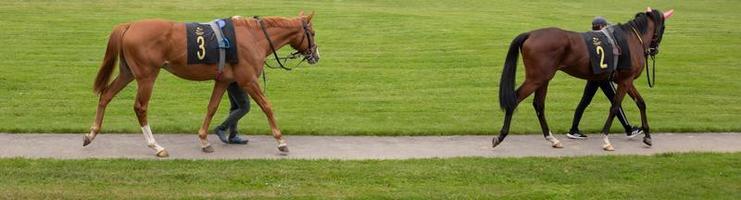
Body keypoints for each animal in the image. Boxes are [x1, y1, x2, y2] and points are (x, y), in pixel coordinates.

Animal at [83, 11, 318, 157]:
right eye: (313, 33)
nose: (316, 55)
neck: (253, 36)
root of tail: (129, 25)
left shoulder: (223, 80)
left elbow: (212, 108)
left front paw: (205, 140)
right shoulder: (248, 80)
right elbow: (267, 106)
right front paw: (281, 142)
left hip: (128, 72)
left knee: (106, 95)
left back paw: (91, 134)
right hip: (147, 75)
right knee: (140, 107)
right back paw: (156, 146)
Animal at [494, 8, 672, 152]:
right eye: (664, 27)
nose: (654, 50)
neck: (631, 40)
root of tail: (530, 34)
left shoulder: (626, 81)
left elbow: (641, 103)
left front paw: (647, 136)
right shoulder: (625, 80)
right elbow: (615, 107)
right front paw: (606, 140)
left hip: (543, 79)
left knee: (539, 105)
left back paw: (553, 139)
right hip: (536, 79)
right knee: (515, 99)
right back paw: (500, 137)